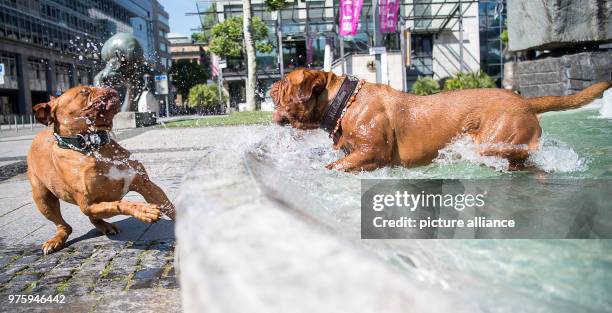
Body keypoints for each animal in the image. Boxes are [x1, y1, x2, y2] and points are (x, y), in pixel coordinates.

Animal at [27, 85, 176, 254]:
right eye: (84, 91)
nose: (106, 86)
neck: (95, 146)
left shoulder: (147, 186)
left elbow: (170, 207)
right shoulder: (88, 204)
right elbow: (121, 204)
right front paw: (144, 210)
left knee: (93, 218)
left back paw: (105, 226)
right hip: (42, 198)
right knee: (64, 225)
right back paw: (56, 240)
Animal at [272, 68, 612, 172]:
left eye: (286, 82)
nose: (271, 85)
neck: (343, 103)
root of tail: (525, 101)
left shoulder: (372, 153)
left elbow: (334, 166)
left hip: (497, 138)